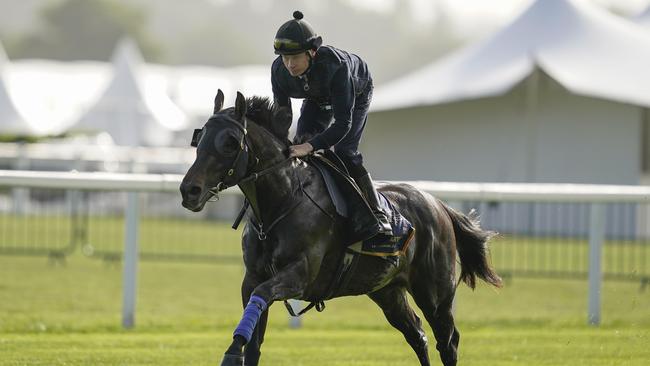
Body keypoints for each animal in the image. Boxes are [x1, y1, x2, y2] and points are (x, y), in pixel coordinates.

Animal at [178, 89, 502, 366]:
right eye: (199, 138)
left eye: (231, 142)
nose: (189, 191)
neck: (284, 200)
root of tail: (440, 205)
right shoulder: (253, 277)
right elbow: (255, 340)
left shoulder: (299, 275)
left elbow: (261, 299)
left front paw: (231, 353)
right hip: (387, 291)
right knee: (417, 335)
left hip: (435, 294)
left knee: (448, 341)